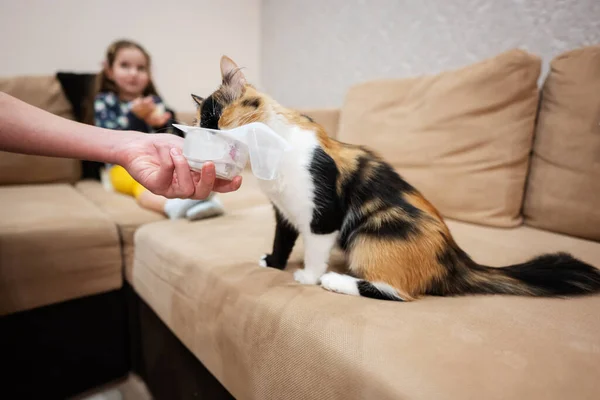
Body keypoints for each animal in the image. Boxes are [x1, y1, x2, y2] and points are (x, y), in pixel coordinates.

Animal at [191, 55, 600, 300]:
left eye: (214, 121)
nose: (202, 143)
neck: (269, 159)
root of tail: (457, 260)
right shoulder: (284, 210)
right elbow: (282, 239)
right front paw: (274, 262)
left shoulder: (323, 214)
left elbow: (315, 249)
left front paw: (308, 275)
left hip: (370, 233)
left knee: (397, 292)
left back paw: (335, 281)